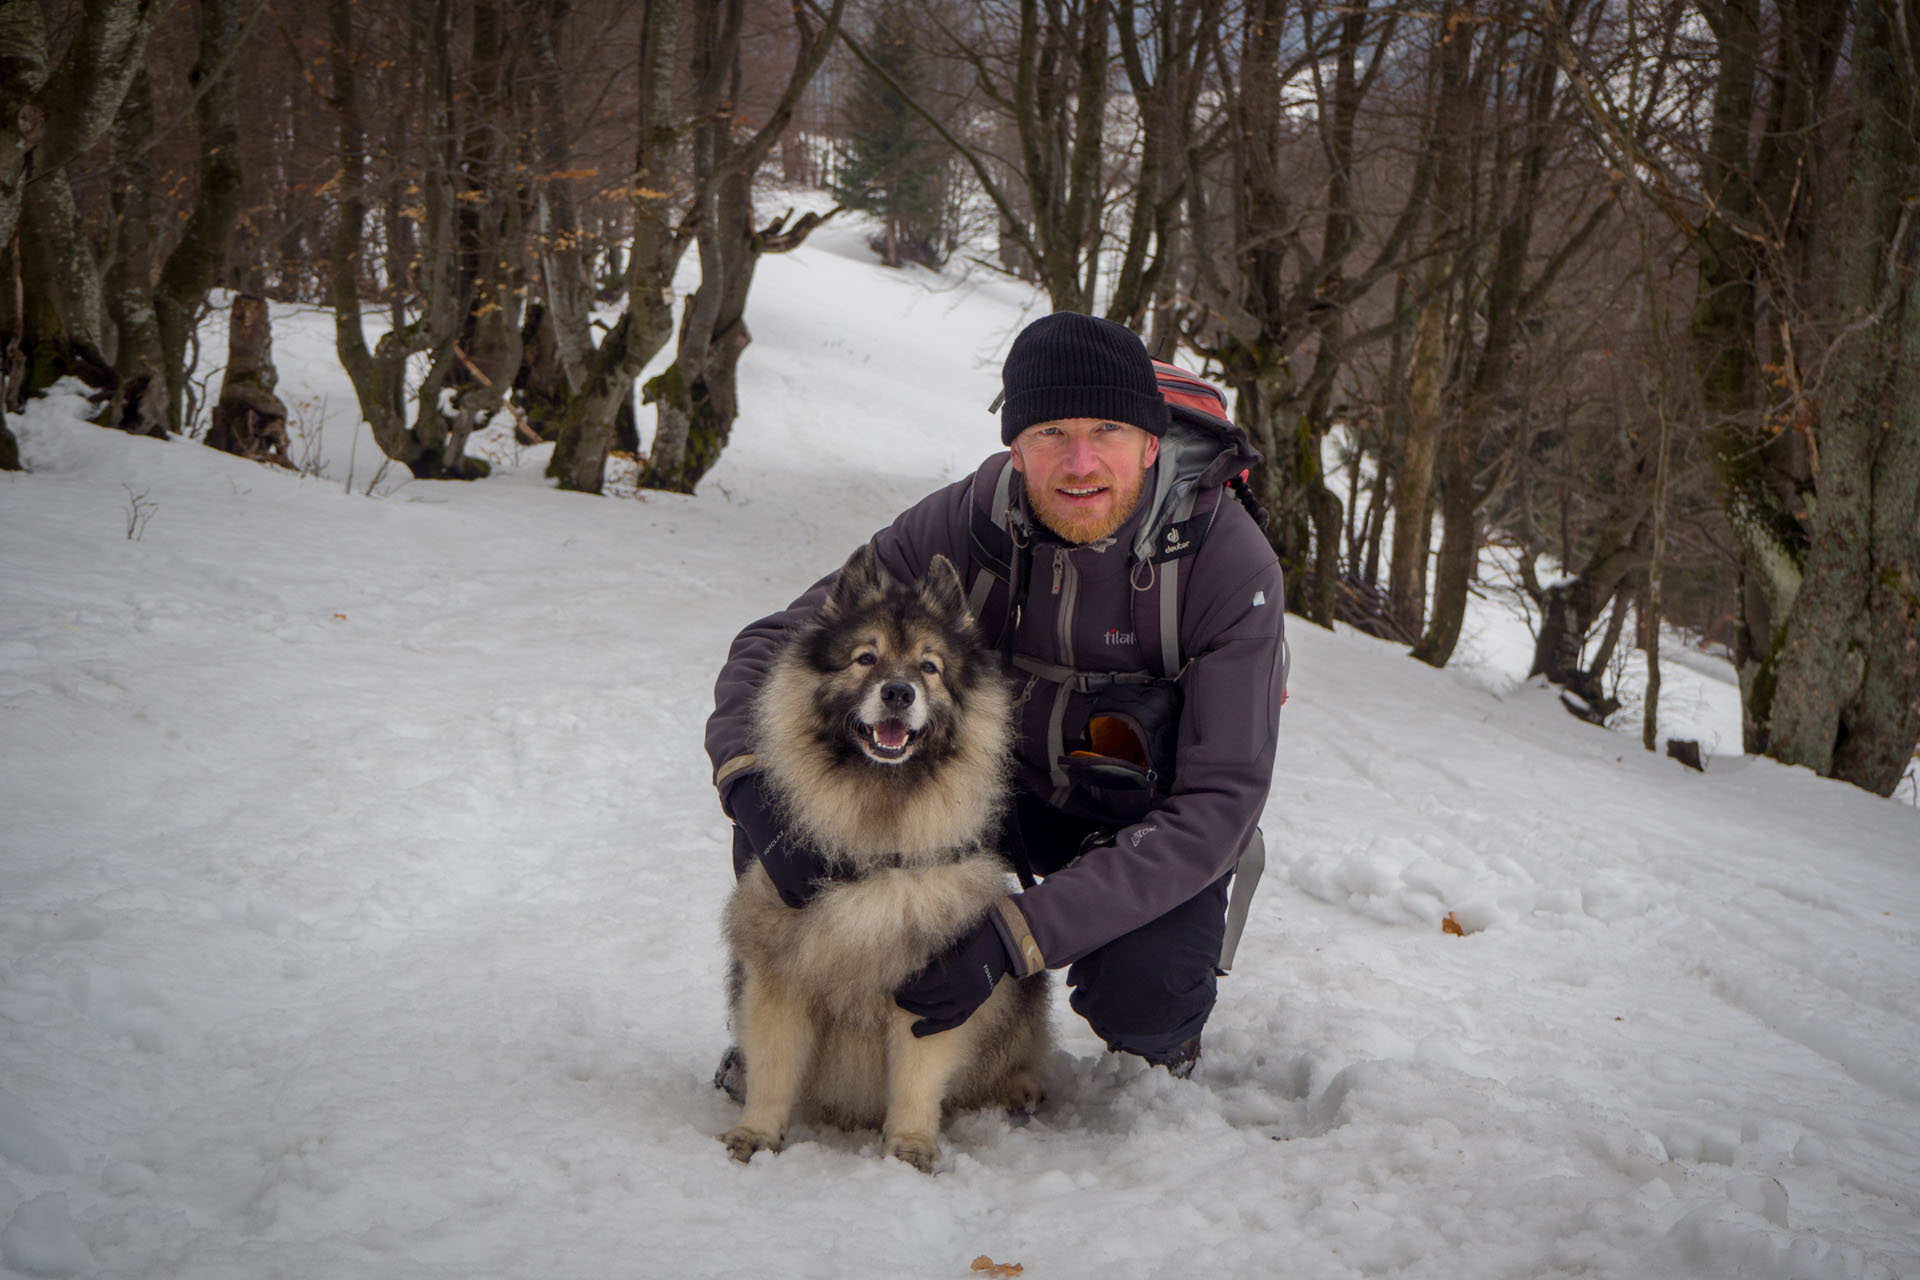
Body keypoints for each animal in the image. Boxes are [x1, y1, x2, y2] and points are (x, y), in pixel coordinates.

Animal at [721, 545, 1052, 1174]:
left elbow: (917, 1082)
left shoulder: (934, 989)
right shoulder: (782, 974)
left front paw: (911, 1148)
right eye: (866, 658)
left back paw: (1021, 1090)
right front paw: (755, 1133)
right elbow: (773, 1067)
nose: (898, 692)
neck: (876, 829)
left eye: (929, 667)